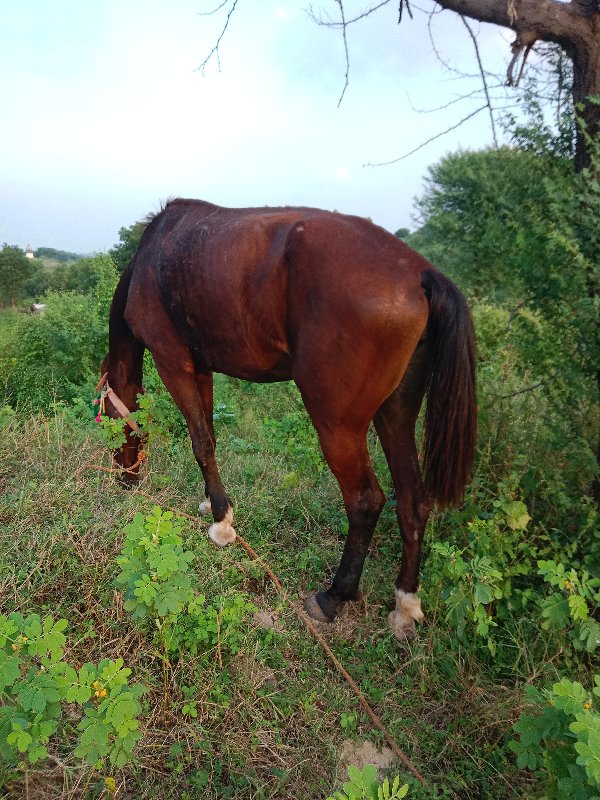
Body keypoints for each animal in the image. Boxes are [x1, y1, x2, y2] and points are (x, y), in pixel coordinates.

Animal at [103, 203, 478, 640]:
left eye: (108, 416)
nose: (125, 479)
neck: (152, 257)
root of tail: (419, 273)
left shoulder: (173, 362)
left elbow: (200, 441)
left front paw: (221, 524)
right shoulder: (202, 368)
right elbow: (209, 433)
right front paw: (215, 504)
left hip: (337, 423)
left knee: (366, 500)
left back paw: (333, 597)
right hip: (396, 413)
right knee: (412, 502)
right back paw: (405, 604)